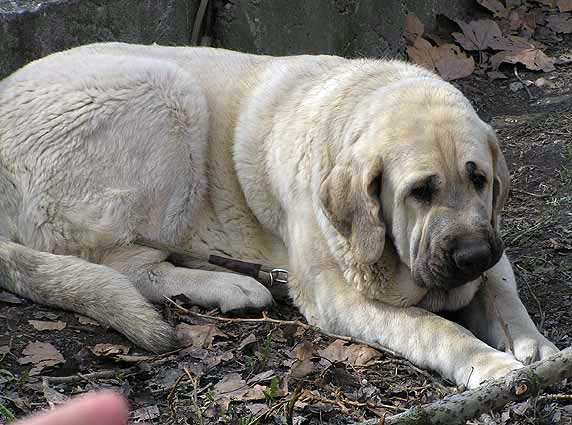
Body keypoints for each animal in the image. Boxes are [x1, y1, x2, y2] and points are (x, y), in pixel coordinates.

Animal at [0, 43, 556, 388]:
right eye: (420, 191)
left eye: (479, 180)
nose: (472, 254)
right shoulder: (336, 296)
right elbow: (435, 328)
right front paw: (489, 364)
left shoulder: (491, 246)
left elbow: (503, 294)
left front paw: (539, 349)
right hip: (165, 96)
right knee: (125, 266)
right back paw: (230, 285)